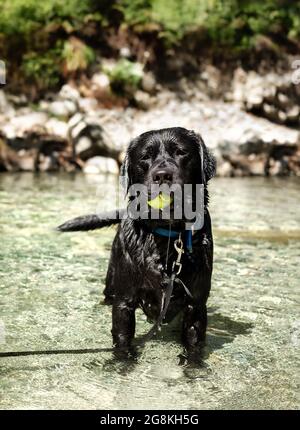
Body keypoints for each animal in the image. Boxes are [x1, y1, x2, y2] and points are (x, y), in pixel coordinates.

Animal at [58, 127, 216, 356]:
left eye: (181, 152)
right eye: (145, 157)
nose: (162, 175)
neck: (167, 237)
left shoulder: (196, 304)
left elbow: (194, 343)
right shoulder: (124, 301)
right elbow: (123, 338)